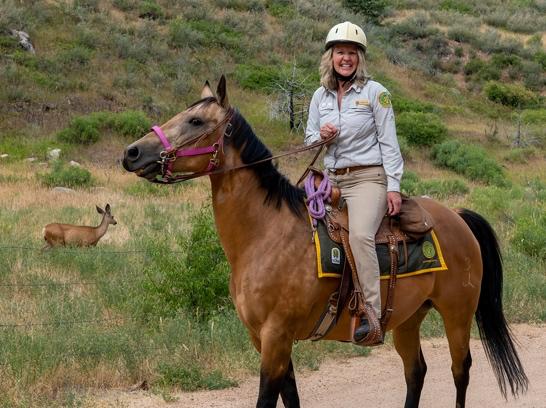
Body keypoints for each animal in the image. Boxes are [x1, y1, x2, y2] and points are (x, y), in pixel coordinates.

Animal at [122, 77, 524, 408]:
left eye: (196, 121)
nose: (132, 153)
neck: (266, 235)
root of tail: (457, 217)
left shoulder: (276, 337)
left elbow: (268, 400)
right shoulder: (264, 339)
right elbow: (291, 398)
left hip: (458, 314)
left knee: (460, 371)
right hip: (409, 318)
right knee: (416, 371)